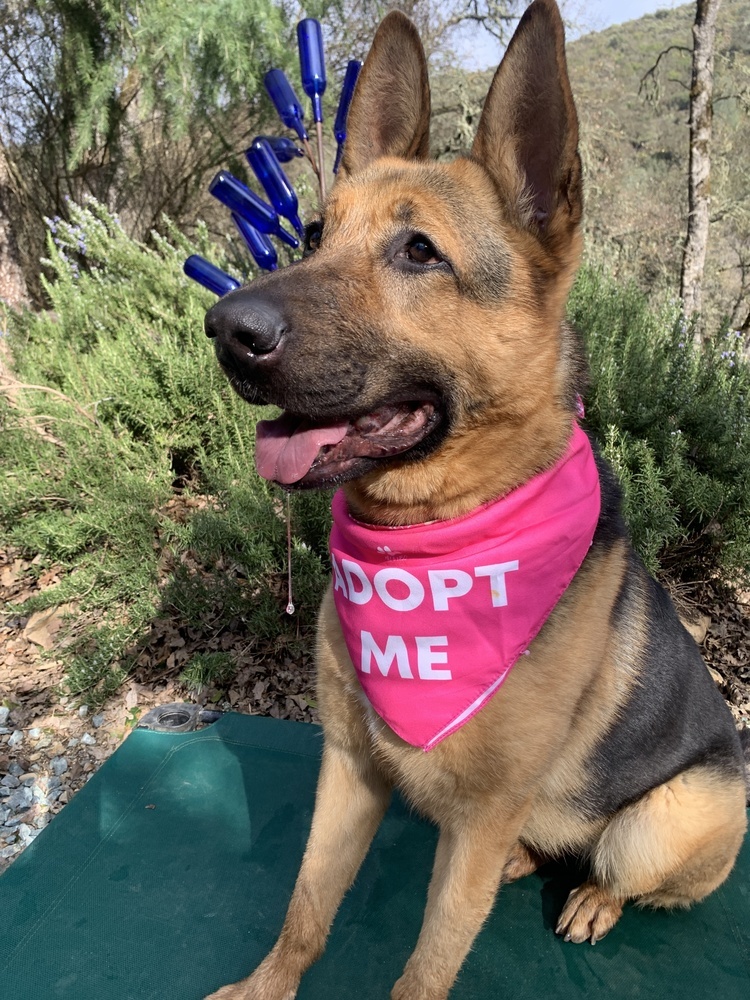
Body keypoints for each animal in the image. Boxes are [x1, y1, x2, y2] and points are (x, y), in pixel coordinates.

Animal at [203, 3, 748, 996]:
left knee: (619, 868)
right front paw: (266, 986)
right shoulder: (349, 769)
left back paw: (591, 897)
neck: (440, 537)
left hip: (668, 818)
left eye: (420, 252)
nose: (225, 329)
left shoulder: (479, 814)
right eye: (313, 235)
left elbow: (427, 965)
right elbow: (307, 904)